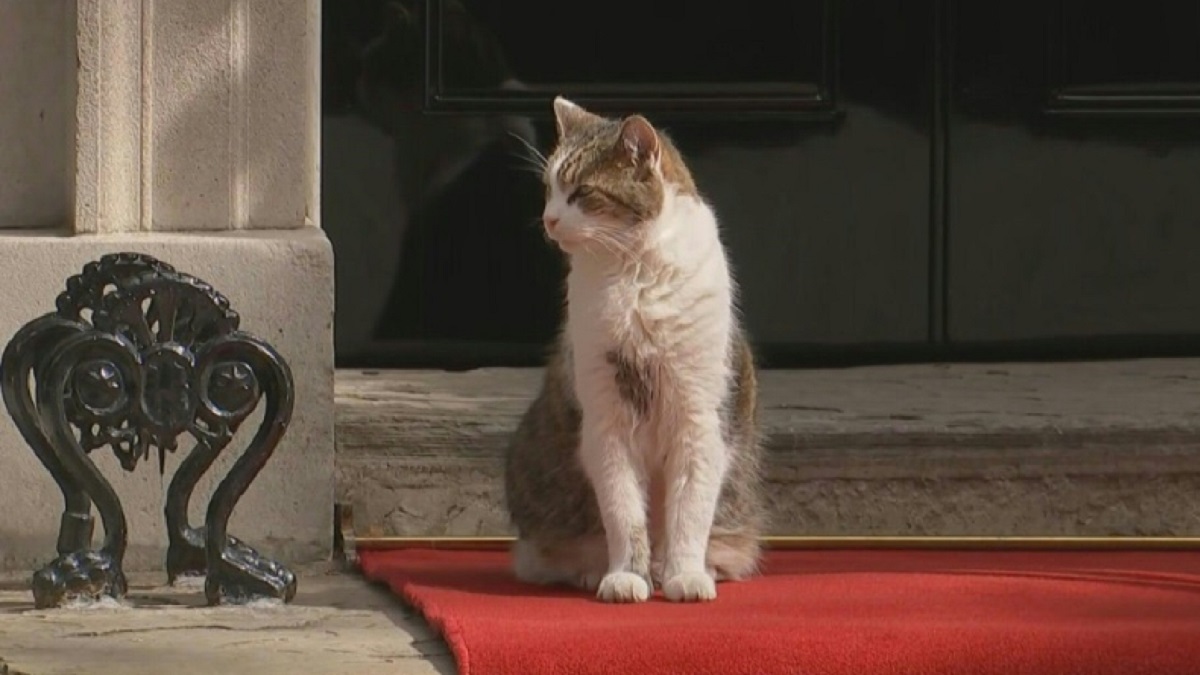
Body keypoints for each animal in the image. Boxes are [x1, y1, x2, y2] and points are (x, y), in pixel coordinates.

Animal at [501, 97, 763, 600]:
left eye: (582, 192)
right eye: (549, 190)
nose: (549, 220)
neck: (635, 272)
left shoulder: (699, 420)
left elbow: (690, 513)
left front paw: (686, 574)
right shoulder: (607, 420)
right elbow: (624, 512)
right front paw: (625, 576)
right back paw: (594, 570)